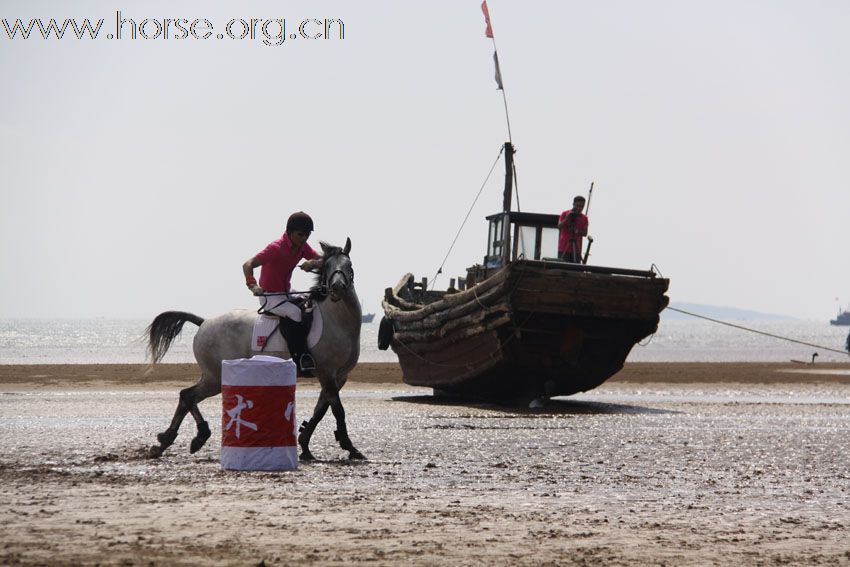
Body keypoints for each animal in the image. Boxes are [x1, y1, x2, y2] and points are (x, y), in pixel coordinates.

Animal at [143, 239, 362, 462]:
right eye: (328, 267)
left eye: (348, 266)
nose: (337, 288)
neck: (337, 321)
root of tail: (204, 322)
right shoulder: (326, 373)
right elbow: (337, 410)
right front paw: (350, 447)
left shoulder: (338, 377)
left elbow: (320, 410)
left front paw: (306, 446)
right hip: (215, 377)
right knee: (188, 395)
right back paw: (190, 437)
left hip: (213, 377)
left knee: (187, 397)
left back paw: (168, 441)